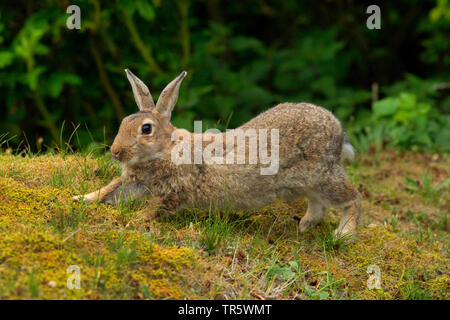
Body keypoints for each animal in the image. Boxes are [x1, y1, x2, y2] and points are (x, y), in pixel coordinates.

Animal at [74, 69, 362, 238]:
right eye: (124, 122)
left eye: (146, 129)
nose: (115, 152)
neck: (165, 150)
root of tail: (337, 129)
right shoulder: (135, 183)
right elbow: (109, 191)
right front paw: (81, 198)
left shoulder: (174, 190)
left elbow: (153, 208)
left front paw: (132, 222)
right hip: (307, 182)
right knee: (318, 203)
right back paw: (305, 224)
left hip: (322, 175)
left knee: (353, 196)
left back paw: (344, 234)